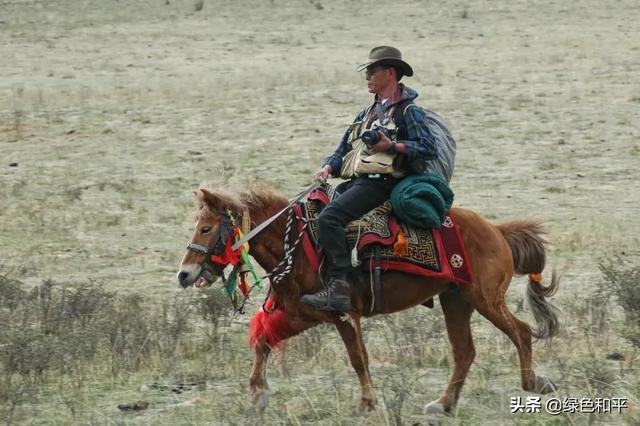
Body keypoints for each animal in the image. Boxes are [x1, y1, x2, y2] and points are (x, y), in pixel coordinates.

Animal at [176, 186, 560, 416]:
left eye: (206, 228)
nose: (184, 274)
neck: (297, 245)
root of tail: (496, 230)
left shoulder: (343, 314)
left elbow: (358, 358)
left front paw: (366, 402)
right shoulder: (302, 314)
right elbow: (262, 341)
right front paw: (257, 396)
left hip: (486, 299)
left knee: (521, 332)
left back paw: (534, 383)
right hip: (456, 301)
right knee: (465, 352)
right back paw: (443, 404)